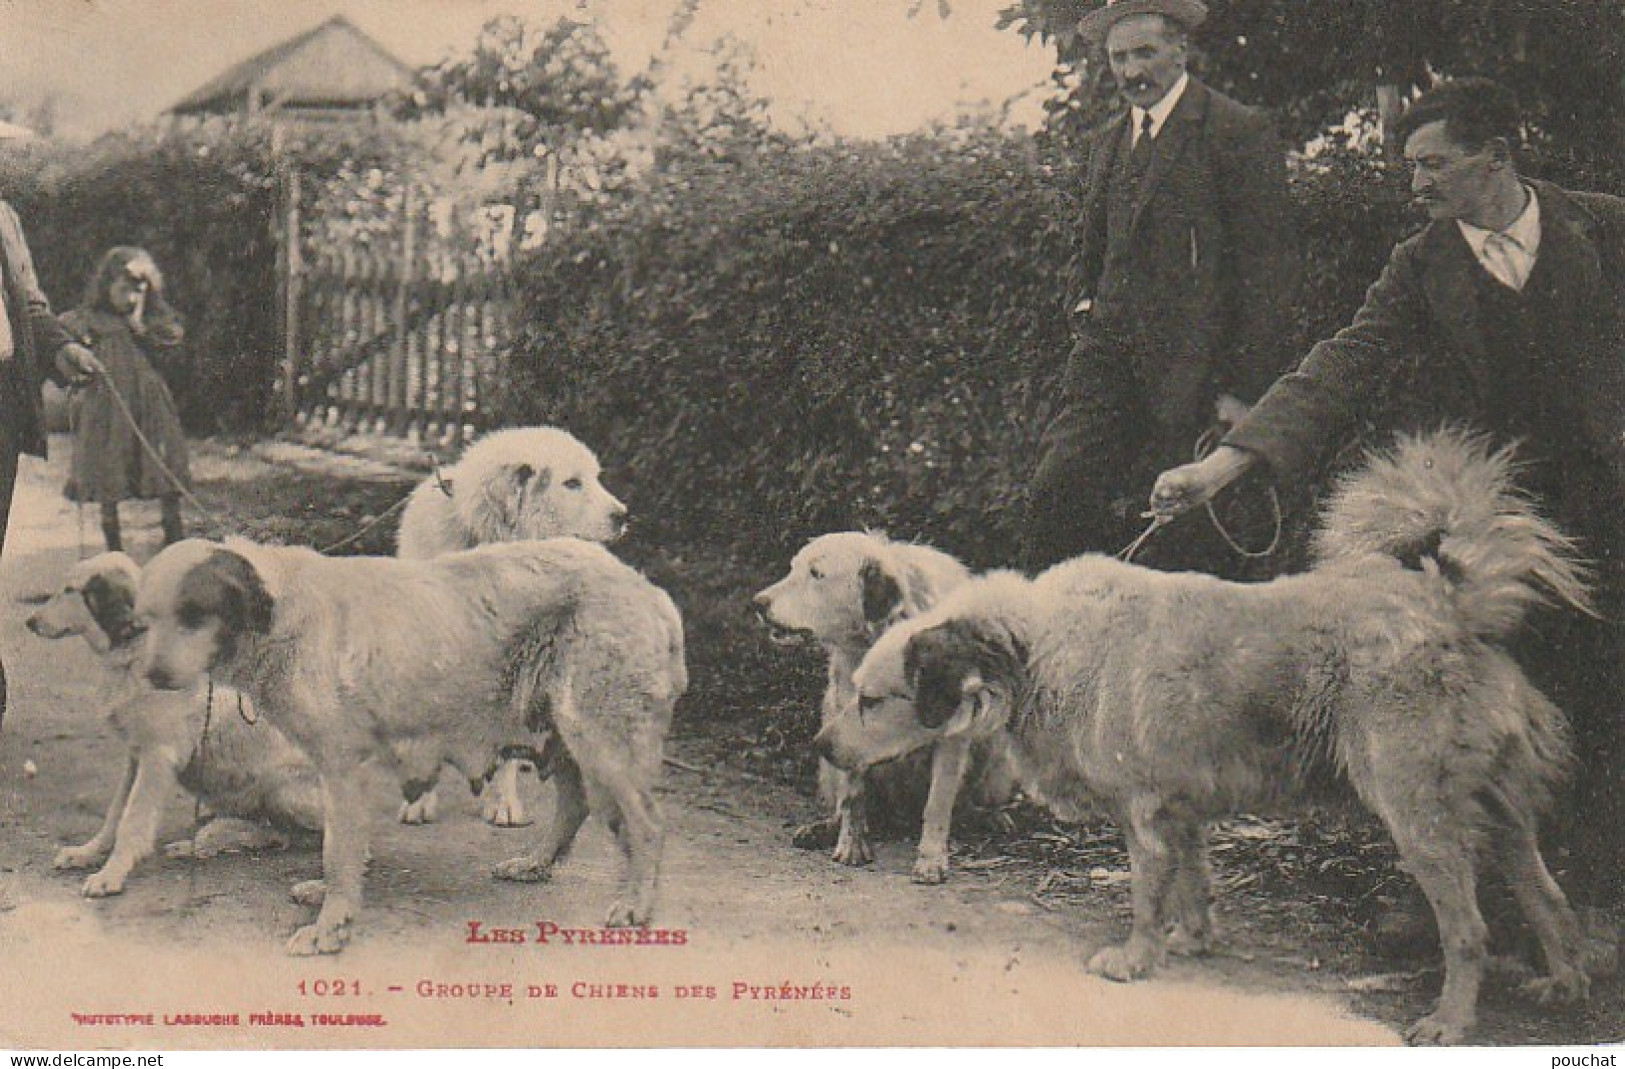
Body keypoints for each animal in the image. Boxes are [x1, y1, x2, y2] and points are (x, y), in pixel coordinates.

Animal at [26, 549, 320, 890]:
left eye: (69, 591)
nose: (30, 622)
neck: (136, 651)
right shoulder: (136, 756)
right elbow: (116, 812)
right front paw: (87, 852)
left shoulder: (156, 756)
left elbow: (132, 820)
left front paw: (111, 873)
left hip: (281, 788)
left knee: (294, 834)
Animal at [131, 536, 679, 955]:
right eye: (148, 620)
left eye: (193, 614)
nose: (153, 676)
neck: (281, 615)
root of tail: (646, 588)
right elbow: (343, 847)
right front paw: (330, 900)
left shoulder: (342, 766)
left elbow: (338, 850)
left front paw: (330, 926)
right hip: (558, 725)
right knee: (575, 802)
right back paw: (535, 864)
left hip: (600, 734)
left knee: (648, 823)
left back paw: (636, 903)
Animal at [750, 529, 1007, 877]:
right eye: (793, 569)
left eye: (815, 574)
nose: (758, 603)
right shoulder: (846, 716)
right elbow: (853, 792)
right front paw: (852, 842)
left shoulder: (953, 730)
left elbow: (939, 801)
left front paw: (931, 856)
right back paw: (825, 828)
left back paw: (988, 815)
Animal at [825, 432, 1599, 1039]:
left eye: (872, 699)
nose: (822, 752)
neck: (1038, 648)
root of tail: (1442, 604)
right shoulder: (1180, 810)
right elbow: (1194, 882)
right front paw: (1191, 940)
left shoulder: (1142, 816)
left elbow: (1145, 894)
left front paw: (1134, 959)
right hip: (1497, 811)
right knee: (1546, 896)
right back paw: (1563, 983)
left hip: (1418, 815)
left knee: (1469, 931)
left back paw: (1449, 1020)